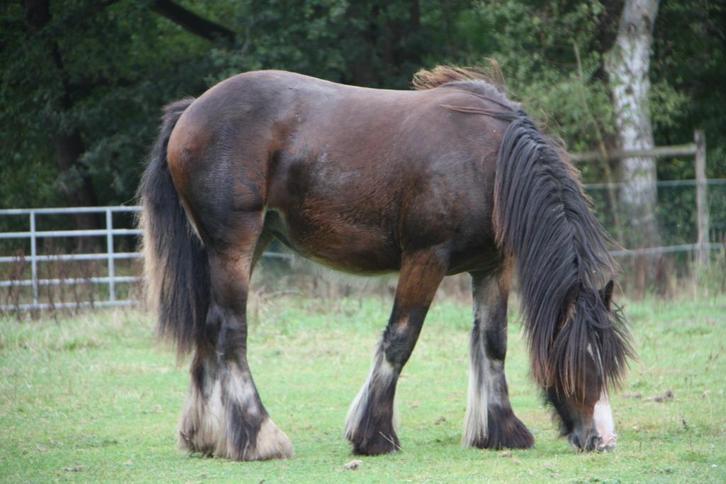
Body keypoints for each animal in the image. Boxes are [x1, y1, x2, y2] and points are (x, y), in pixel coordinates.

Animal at [138, 66, 632, 461]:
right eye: (583, 358)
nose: (602, 440)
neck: (491, 162)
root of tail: (192, 110)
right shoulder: (425, 259)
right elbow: (400, 340)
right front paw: (372, 435)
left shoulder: (493, 268)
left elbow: (493, 344)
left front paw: (501, 431)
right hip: (234, 247)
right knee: (229, 331)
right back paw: (259, 438)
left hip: (242, 248)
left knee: (208, 330)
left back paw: (207, 438)